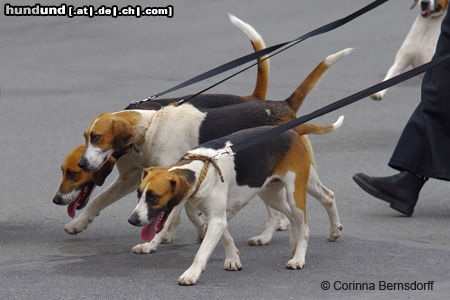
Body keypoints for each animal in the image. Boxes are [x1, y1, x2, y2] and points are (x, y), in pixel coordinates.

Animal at [64, 46, 352, 255]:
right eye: (86, 138)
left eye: (97, 137)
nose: (84, 164)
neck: (152, 125)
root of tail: (284, 105)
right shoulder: (147, 178)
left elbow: (171, 216)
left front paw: (155, 241)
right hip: (264, 179)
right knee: (288, 210)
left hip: (295, 178)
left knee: (326, 197)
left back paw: (327, 230)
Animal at [130, 115, 344, 286]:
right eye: (139, 194)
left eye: (154, 197)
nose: (132, 220)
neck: (200, 170)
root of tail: (292, 130)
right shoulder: (206, 212)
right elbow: (224, 236)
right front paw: (233, 258)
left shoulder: (216, 217)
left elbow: (202, 251)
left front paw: (191, 273)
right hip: (271, 193)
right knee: (299, 213)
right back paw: (299, 242)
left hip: (296, 191)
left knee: (315, 212)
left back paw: (301, 256)